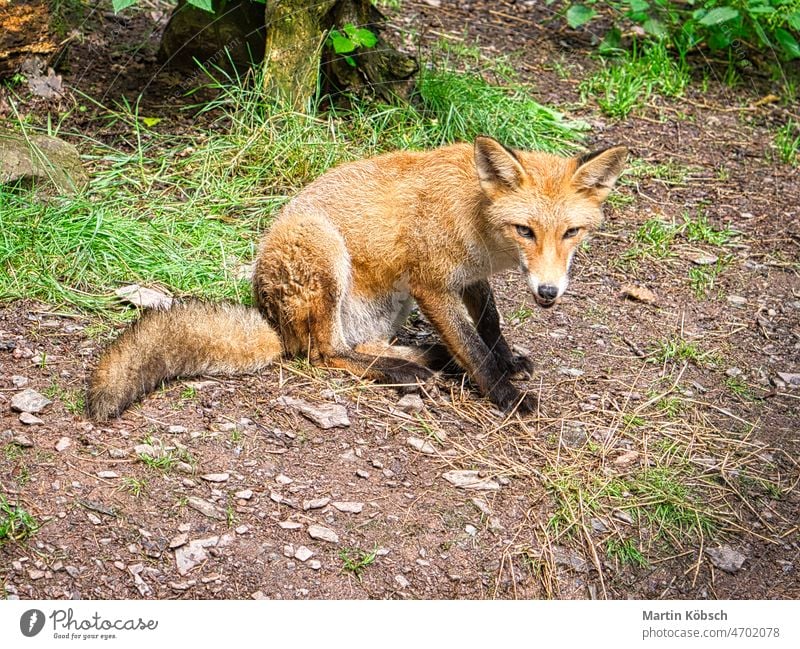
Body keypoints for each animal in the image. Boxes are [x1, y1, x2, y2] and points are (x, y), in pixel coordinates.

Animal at [86, 137, 624, 420]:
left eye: (571, 232)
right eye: (525, 230)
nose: (549, 293)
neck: (479, 225)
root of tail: (271, 322)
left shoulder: (467, 278)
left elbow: (489, 327)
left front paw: (507, 360)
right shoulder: (432, 284)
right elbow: (473, 349)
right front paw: (506, 395)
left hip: (389, 307)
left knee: (361, 346)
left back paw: (423, 358)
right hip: (324, 257)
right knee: (323, 354)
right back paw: (406, 370)